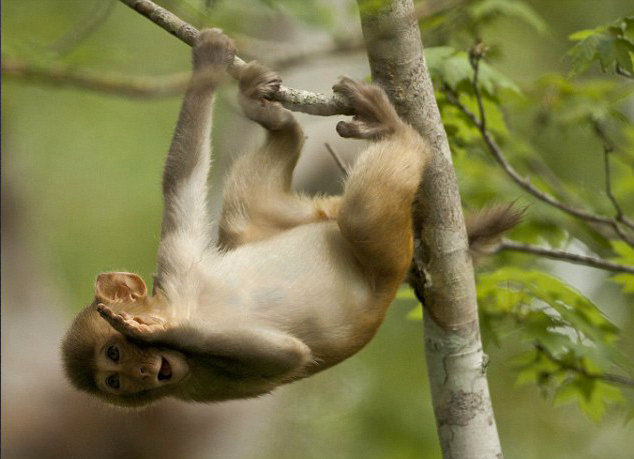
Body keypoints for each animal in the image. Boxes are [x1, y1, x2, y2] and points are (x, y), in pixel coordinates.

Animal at [60, 28, 520, 408]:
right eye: (115, 381)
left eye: (115, 353)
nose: (141, 372)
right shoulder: (196, 376)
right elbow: (287, 356)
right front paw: (157, 333)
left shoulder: (176, 272)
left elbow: (180, 174)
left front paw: (208, 59)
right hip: (376, 249)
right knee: (355, 215)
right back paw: (393, 135)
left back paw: (299, 123)